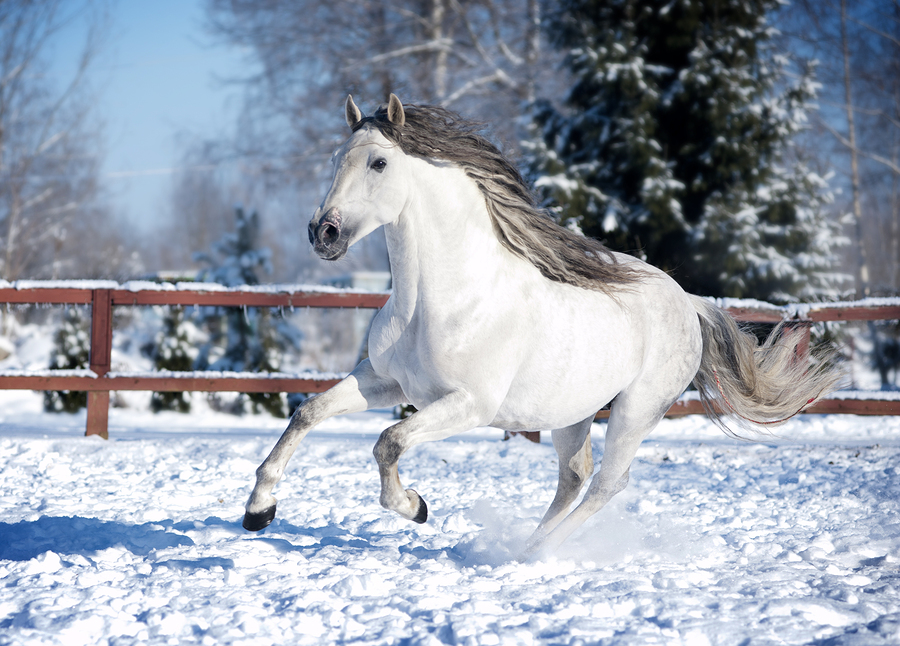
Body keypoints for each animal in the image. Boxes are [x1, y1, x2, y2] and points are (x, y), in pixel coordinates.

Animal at [241, 93, 844, 560]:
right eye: (337, 159)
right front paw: (258, 510)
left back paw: (535, 554)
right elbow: (307, 412)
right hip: (571, 410)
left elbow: (388, 443)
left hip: (636, 410)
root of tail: (687, 302)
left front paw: (414, 507)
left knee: (607, 482)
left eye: (379, 164)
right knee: (574, 476)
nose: (324, 233)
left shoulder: (470, 405)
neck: (442, 300)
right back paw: (526, 545)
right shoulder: (386, 383)